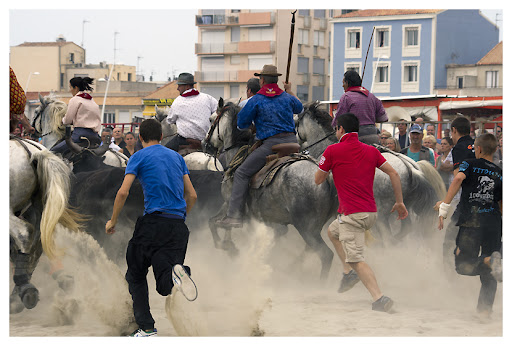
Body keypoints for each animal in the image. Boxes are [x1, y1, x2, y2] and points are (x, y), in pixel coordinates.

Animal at [294, 102, 446, 243]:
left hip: (383, 214)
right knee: (405, 229)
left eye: (296, 122)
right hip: (403, 209)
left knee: (388, 236)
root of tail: (409, 167)